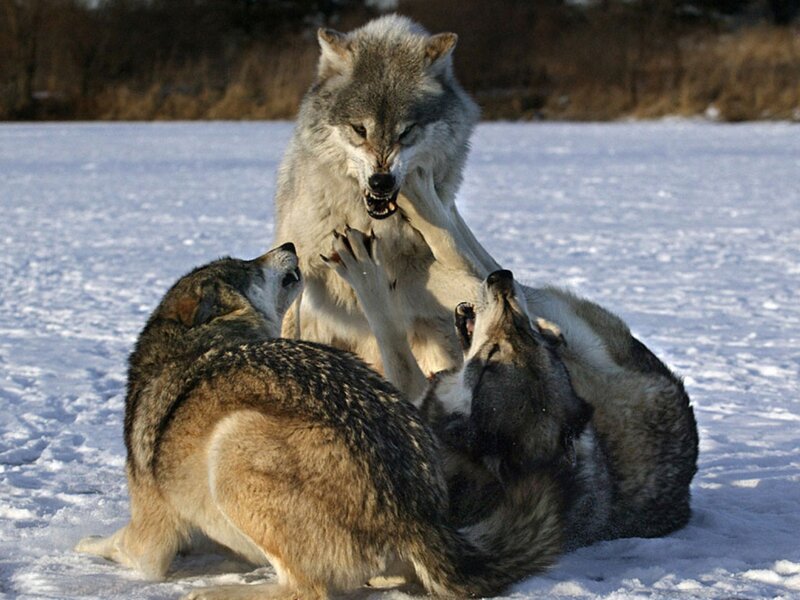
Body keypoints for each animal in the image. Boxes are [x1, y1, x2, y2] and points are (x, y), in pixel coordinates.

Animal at [74, 243, 565, 599]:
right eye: (247, 267)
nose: (289, 245)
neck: (193, 346)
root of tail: (417, 515)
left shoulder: (150, 538)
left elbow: (119, 546)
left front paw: (86, 543)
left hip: (235, 445)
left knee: (307, 590)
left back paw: (216, 593)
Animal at [326, 227, 698, 546]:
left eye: (492, 355)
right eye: (525, 337)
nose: (502, 279)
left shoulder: (417, 392)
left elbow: (388, 329)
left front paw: (365, 273)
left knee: (463, 254)